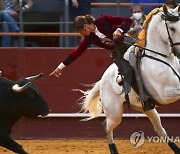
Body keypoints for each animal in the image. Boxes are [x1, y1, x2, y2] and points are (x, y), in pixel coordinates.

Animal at [79, 5, 180, 154]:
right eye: (172, 28)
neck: (163, 57)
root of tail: (102, 81)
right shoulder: (165, 94)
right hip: (115, 113)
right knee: (106, 127)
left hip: (147, 108)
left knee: (160, 130)